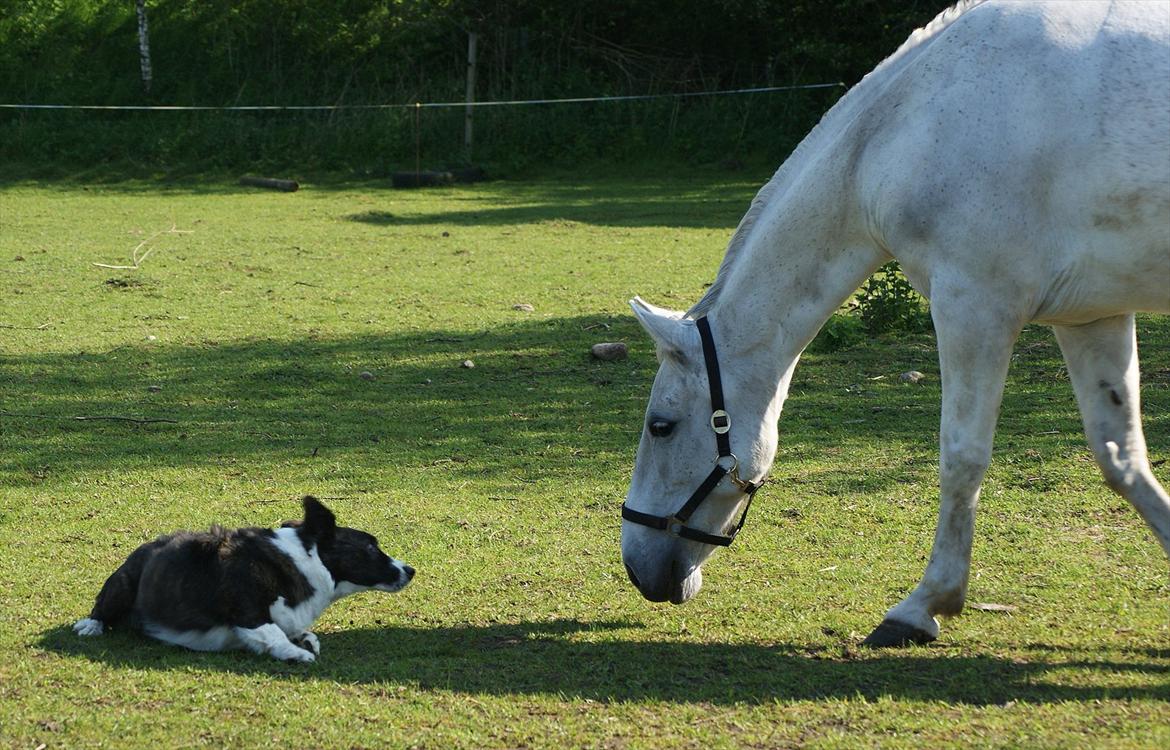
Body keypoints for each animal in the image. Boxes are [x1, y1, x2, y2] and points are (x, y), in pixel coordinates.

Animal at [71, 496, 411, 659]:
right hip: (123, 585)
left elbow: (296, 631)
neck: (305, 558)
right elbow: (273, 633)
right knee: (102, 609)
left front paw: (304, 639)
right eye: (371, 547)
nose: (411, 570)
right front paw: (296, 653)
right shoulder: (247, 612)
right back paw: (92, 625)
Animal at [617, 0, 1165, 645]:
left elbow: (962, 455)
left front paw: (923, 606)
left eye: (661, 426)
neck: (906, 124)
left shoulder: (973, 305)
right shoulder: (1090, 315)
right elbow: (1122, 457)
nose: (637, 568)